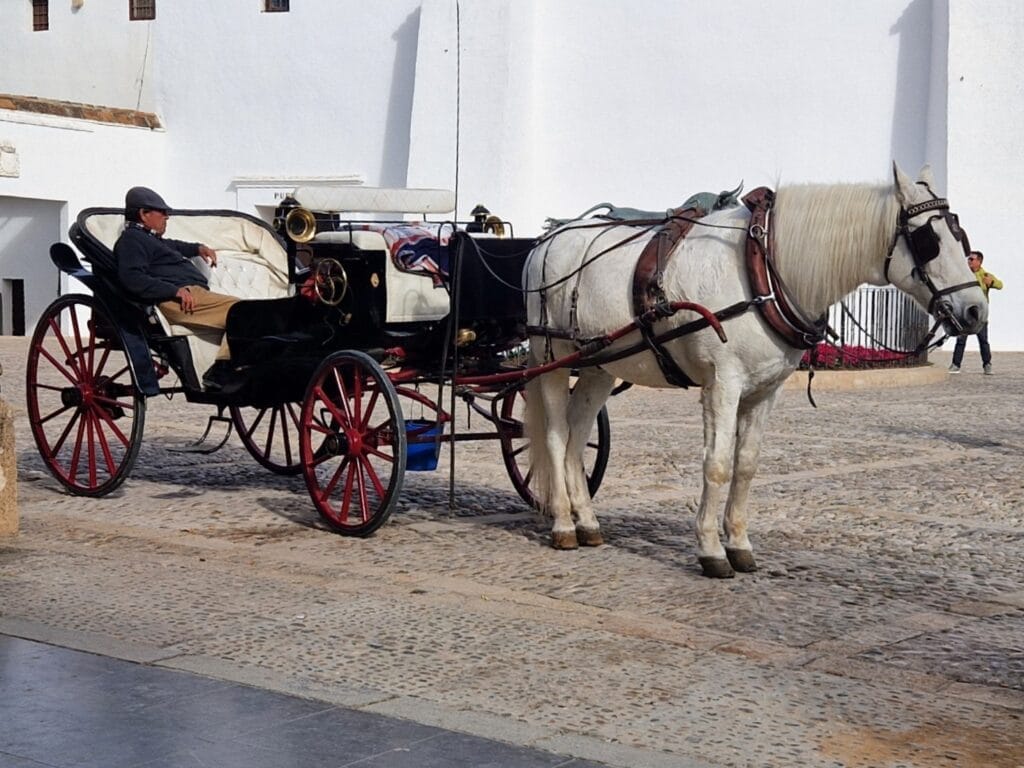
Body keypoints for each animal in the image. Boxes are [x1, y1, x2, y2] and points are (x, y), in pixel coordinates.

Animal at [524, 165, 987, 581]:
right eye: (929, 240)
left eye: (961, 236)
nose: (976, 310)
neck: (761, 269)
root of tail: (547, 239)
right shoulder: (722, 384)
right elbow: (717, 465)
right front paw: (711, 551)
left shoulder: (765, 390)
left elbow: (745, 465)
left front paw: (739, 545)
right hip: (552, 355)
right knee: (555, 435)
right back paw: (563, 524)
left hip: (600, 364)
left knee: (578, 435)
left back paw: (587, 521)